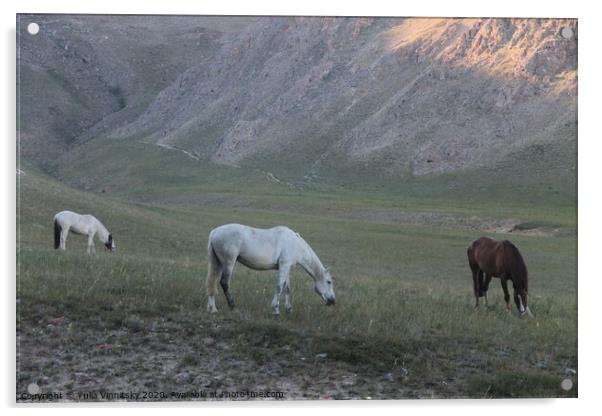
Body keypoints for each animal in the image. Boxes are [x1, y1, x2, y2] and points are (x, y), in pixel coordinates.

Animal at [206, 224, 336, 316]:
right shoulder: (284, 265)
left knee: (212, 284)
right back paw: (232, 305)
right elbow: (279, 287)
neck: (296, 244)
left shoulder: (287, 268)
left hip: (217, 263)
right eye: (329, 282)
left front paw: (289, 309)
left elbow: (287, 289)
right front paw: (276, 310)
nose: (333, 301)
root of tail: (214, 232)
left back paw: (213, 309)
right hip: (228, 263)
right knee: (224, 283)